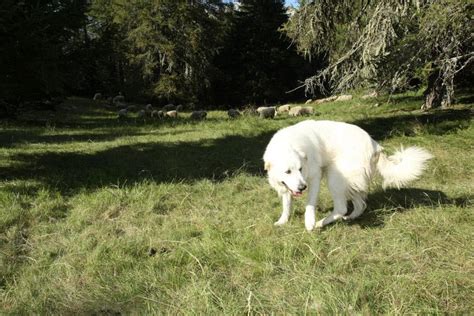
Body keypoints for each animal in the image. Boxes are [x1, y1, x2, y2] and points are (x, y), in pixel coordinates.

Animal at [262, 119, 434, 231]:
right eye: (288, 171)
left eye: (300, 169)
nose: (302, 187)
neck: (288, 144)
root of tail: (375, 145)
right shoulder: (286, 185)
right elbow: (287, 204)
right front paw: (283, 221)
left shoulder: (315, 176)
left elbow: (309, 204)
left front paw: (309, 223)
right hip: (350, 182)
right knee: (360, 205)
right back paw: (350, 218)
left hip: (334, 177)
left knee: (341, 208)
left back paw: (320, 223)